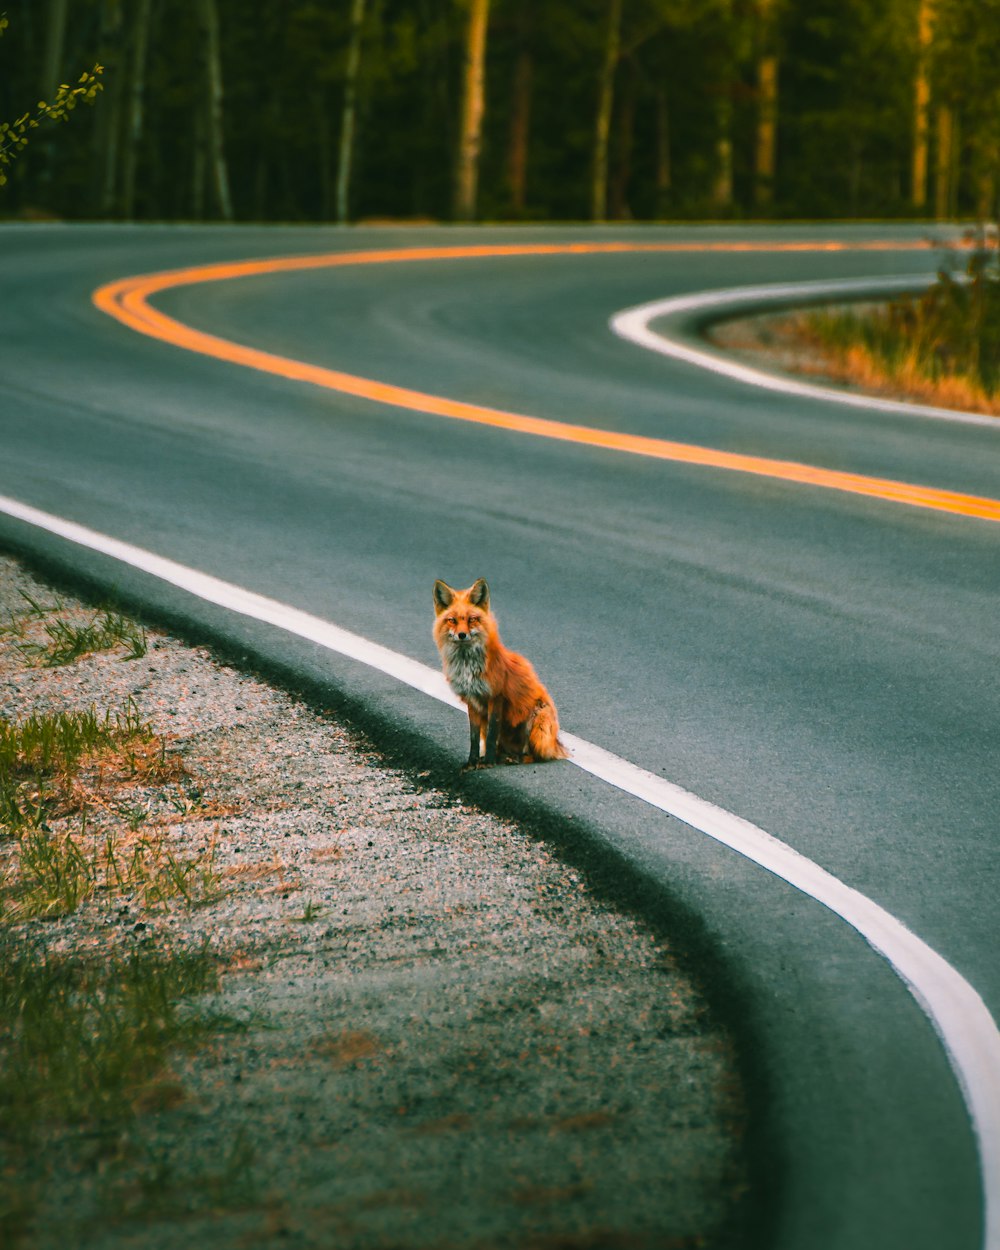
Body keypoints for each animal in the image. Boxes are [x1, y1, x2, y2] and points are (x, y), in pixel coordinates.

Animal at [432, 580, 567, 765]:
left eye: (472, 619)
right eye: (452, 620)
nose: (462, 635)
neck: (467, 666)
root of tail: (556, 745)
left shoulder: (496, 696)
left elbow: (492, 734)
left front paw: (489, 762)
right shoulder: (472, 700)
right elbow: (474, 737)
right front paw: (472, 762)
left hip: (537, 723)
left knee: (532, 755)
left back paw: (514, 758)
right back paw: (501, 756)